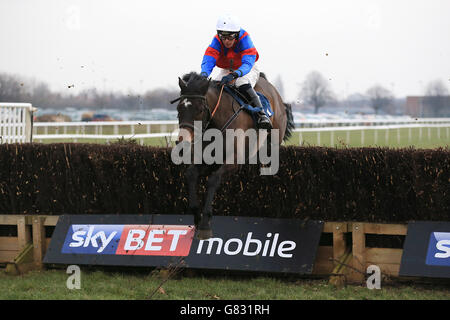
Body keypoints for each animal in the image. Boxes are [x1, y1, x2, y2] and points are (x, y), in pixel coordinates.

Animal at [171, 72, 294, 238]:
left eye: (200, 109)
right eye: (179, 109)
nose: (183, 142)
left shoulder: (234, 160)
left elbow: (213, 179)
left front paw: (205, 224)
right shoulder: (207, 160)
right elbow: (190, 174)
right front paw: (197, 217)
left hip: (274, 142)